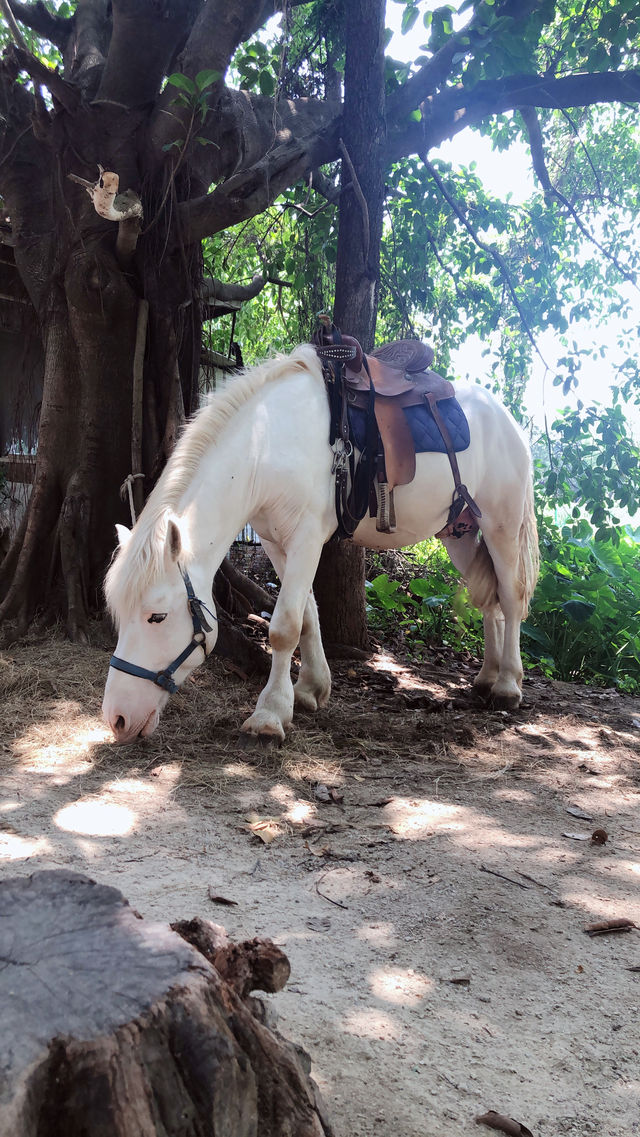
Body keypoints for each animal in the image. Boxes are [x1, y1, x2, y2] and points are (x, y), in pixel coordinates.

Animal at [102, 341, 538, 741]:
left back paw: (507, 685)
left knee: (511, 596)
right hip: (459, 533)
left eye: (157, 616)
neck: (268, 444)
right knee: (489, 601)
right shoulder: (276, 542)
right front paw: (310, 690)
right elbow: (308, 614)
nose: (117, 719)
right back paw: (486, 677)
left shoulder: (307, 538)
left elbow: (285, 626)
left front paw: (270, 715)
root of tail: (509, 421)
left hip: (501, 526)